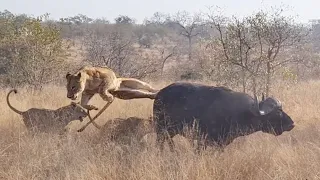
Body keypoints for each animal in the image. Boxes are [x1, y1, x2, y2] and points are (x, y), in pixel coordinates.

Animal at [152, 82, 296, 152]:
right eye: (277, 112)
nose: (292, 124)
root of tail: (159, 94)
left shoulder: (221, 144)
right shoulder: (202, 141)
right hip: (161, 130)